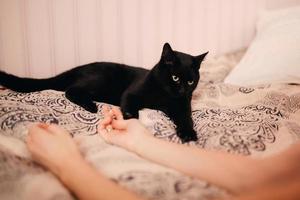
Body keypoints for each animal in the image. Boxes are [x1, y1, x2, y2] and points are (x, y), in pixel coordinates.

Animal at [0, 42, 207, 142]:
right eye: (175, 77)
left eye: (190, 81)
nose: (182, 89)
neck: (163, 96)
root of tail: (78, 68)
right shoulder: (131, 93)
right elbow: (130, 104)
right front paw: (131, 117)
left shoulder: (181, 107)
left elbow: (186, 119)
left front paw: (188, 134)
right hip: (100, 80)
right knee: (70, 90)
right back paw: (91, 106)